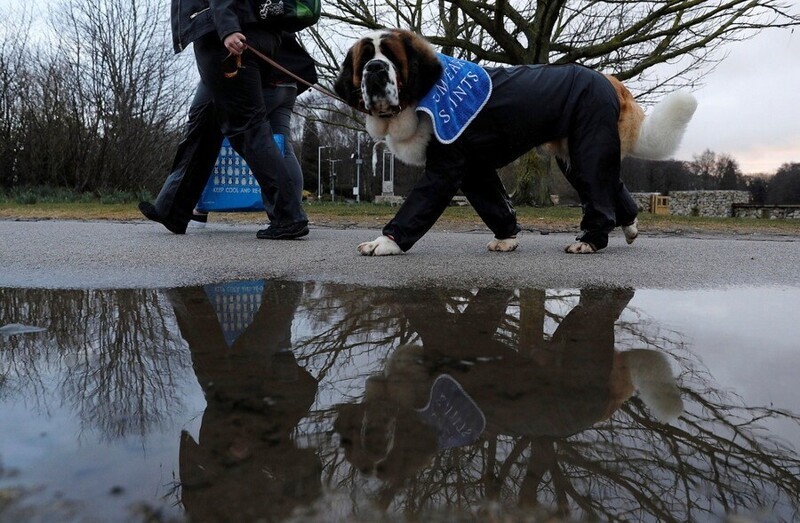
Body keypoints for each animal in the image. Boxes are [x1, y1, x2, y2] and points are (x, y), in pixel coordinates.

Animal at [334, 28, 696, 256]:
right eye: (364, 59)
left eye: (392, 58)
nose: (375, 69)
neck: (423, 96)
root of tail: (607, 78)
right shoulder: (474, 168)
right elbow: (495, 203)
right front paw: (507, 239)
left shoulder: (447, 166)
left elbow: (418, 205)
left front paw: (386, 243)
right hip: (575, 155)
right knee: (612, 184)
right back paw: (630, 226)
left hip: (588, 144)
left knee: (598, 190)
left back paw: (591, 241)